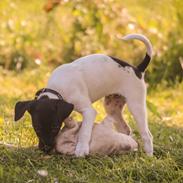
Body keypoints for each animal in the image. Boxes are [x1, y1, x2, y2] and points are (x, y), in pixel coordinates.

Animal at [14, 33, 153, 157]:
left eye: (55, 127)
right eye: (36, 128)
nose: (46, 150)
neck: (58, 88)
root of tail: (137, 69)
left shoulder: (89, 111)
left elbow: (84, 131)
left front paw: (81, 149)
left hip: (136, 105)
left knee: (147, 134)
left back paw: (149, 155)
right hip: (112, 107)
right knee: (126, 129)